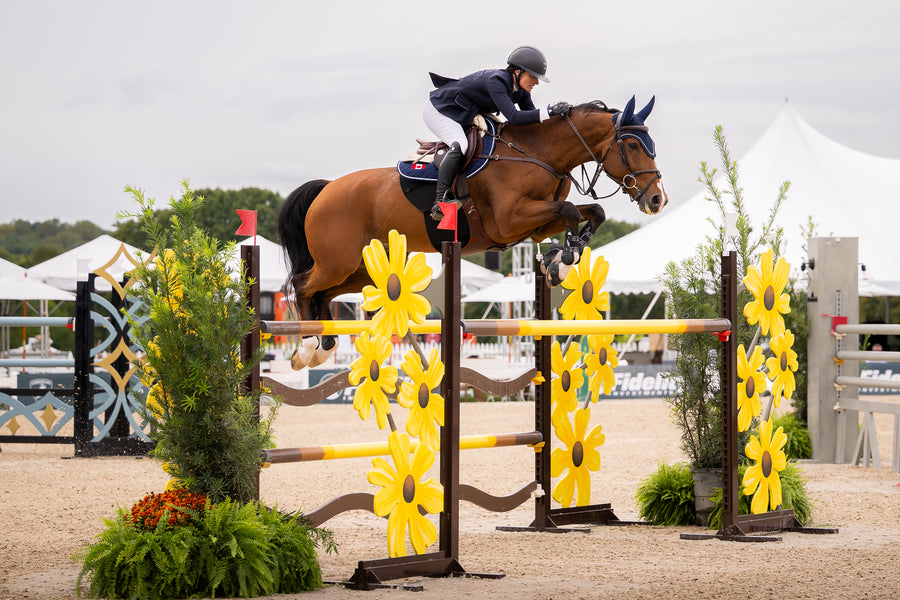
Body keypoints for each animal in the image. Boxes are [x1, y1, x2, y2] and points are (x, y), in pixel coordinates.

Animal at [278, 96, 664, 368]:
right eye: (632, 145)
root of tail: (326, 189)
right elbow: (570, 210)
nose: (658, 199)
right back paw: (308, 347)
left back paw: (322, 348)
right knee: (302, 285)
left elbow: (592, 212)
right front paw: (564, 258)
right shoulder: (509, 221)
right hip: (338, 262)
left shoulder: (538, 226)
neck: (537, 153)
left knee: (322, 294)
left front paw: (560, 259)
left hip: (358, 270)